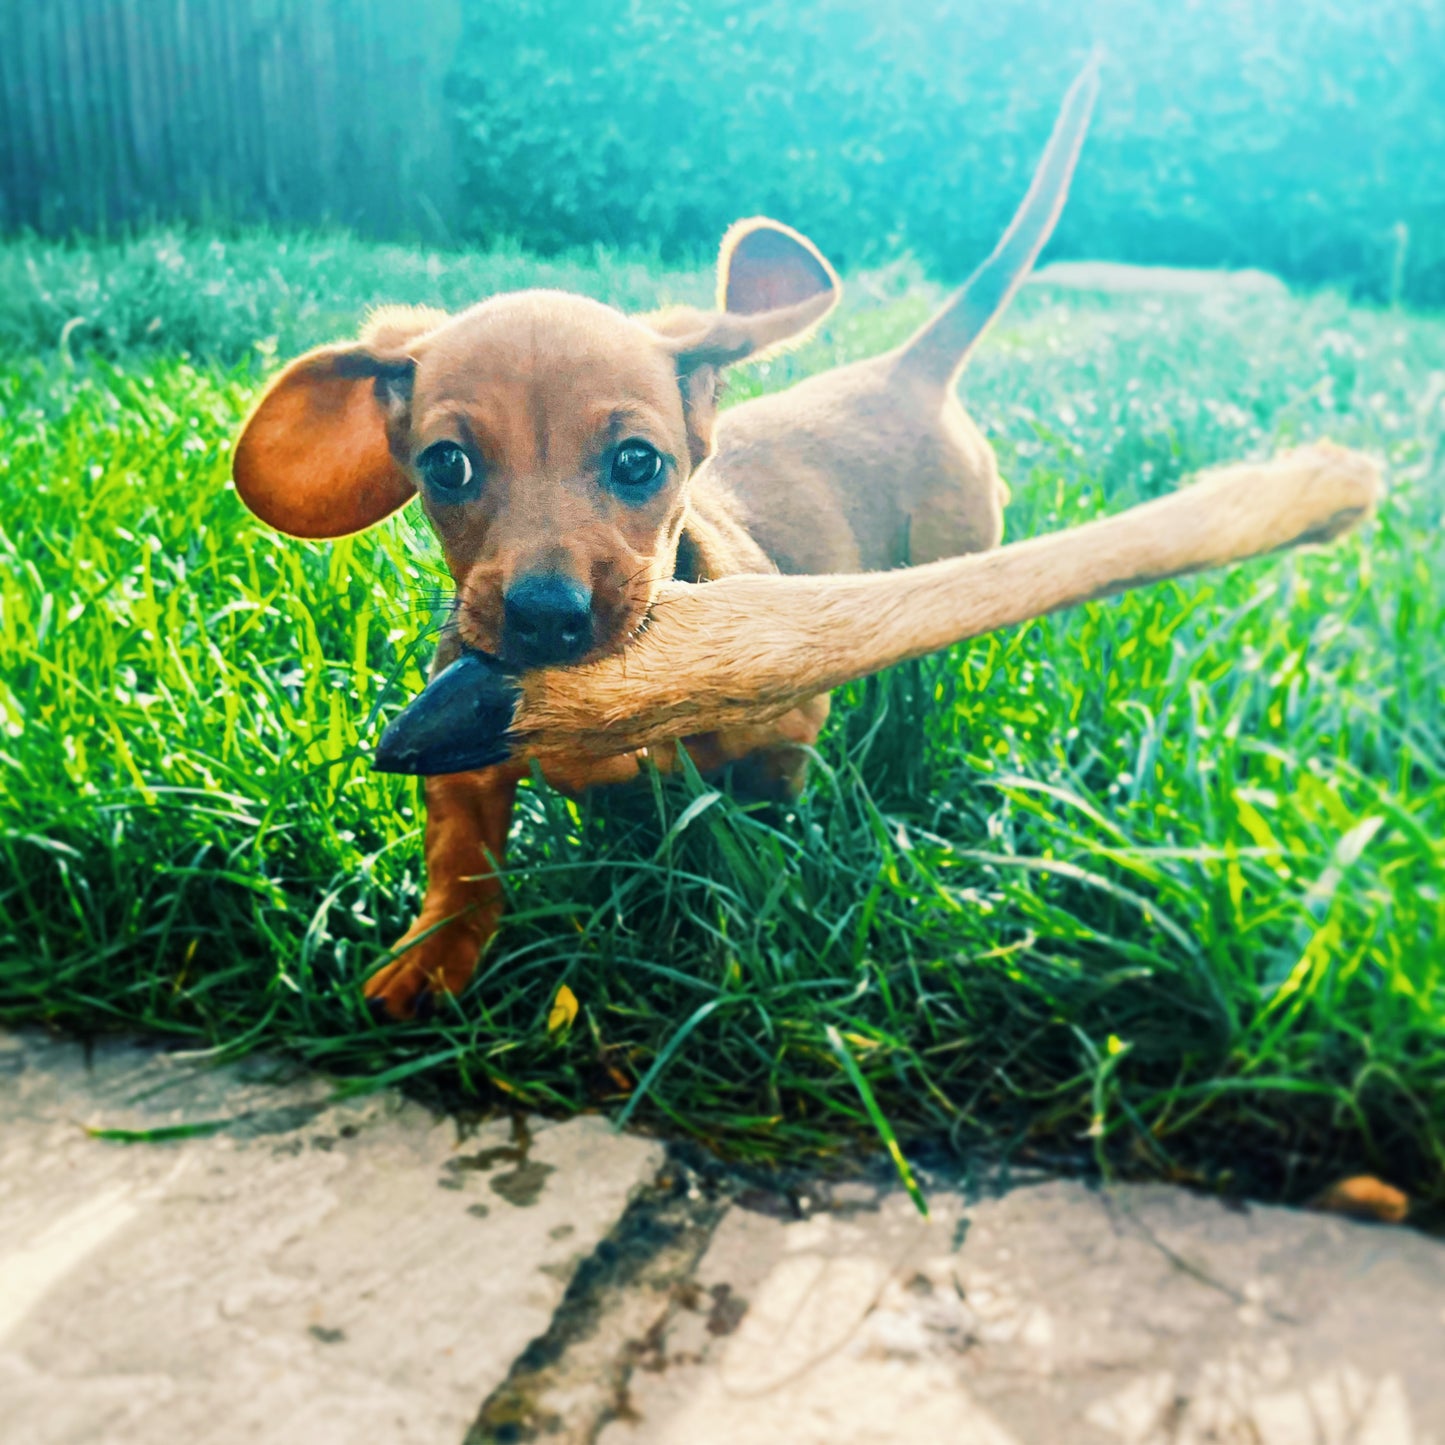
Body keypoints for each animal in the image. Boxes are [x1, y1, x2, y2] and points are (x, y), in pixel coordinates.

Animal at [234, 65, 1092, 1017]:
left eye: (638, 462)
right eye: (446, 465)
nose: (545, 616)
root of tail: (904, 369)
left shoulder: (782, 739)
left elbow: (757, 828)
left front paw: (743, 919)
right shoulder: (462, 753)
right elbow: (461, 865)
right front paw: (433, 958)